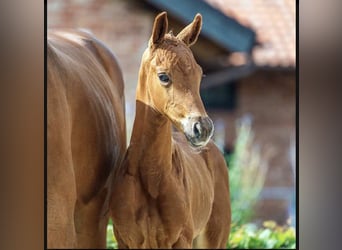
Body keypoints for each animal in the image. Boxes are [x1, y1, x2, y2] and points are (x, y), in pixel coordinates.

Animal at [111, 11, 231, 248]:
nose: (202, 128)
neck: (150, 178)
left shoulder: (181, 239)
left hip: (214, 237)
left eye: (199, 74)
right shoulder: (125, 240)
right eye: (164, 76)